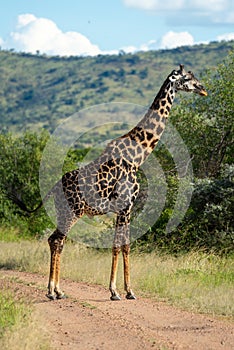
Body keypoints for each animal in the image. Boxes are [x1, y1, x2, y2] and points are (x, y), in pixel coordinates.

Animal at [8, 65, 207, 300]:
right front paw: (119, 291)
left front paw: (123, 290)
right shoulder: (126, 205)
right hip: (73, 211)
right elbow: (122, 246)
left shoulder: (125, 207)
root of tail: (55, 187)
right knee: (56, 240)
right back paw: (51, 291)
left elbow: (122, 245)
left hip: (63, 211)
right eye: (188, 78)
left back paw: (59, 290)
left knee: (55, 240)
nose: (203, 89)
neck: (138, 156)